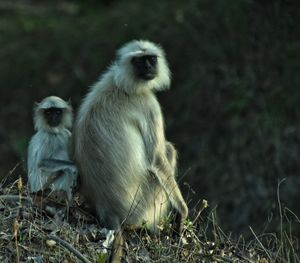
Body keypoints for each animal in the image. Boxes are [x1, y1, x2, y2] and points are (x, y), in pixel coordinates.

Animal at [74, 39, 189, 262]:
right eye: (139, 61)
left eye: (151, 59)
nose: (148, 68)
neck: (120, 83)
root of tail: (110, 213)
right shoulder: (147, 103)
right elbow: (156, 158)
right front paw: (182, 212)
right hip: (140, 209)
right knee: (168, 151)